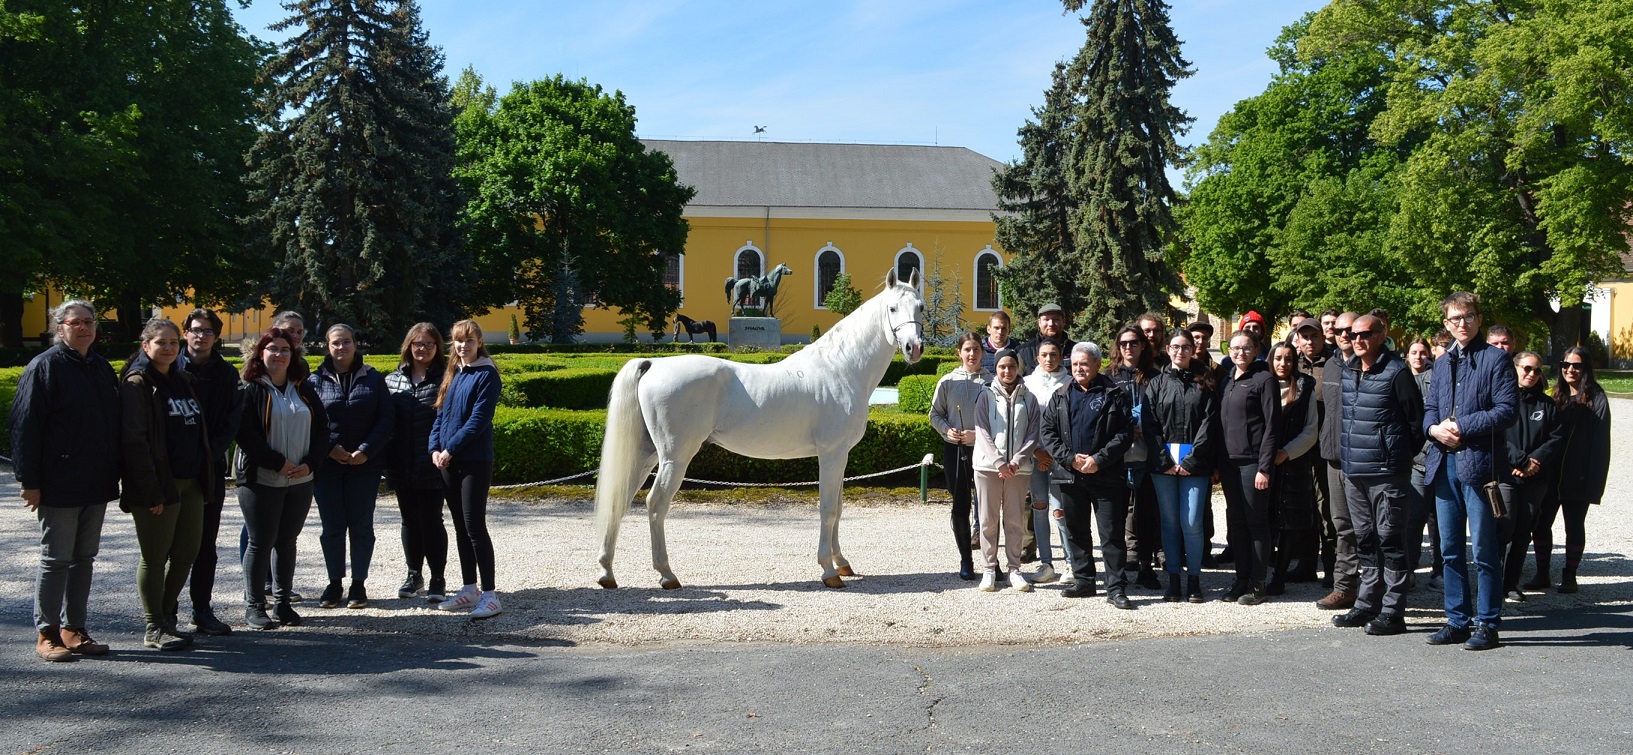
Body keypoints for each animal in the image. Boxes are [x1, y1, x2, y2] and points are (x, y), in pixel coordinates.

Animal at [597, 269, 927, 588]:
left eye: (921, 307)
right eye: (892, 308)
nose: (914, 348)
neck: (841, 368)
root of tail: (653, 364)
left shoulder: (842, 456)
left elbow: (839, 508)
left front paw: (842, 562)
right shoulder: (831, 454)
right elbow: (828, 510)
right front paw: (828, 570)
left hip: (647, 454)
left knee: (619, 498)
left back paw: (607, 572)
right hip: (674, 458)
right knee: (655, 505)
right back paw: (667, 574)